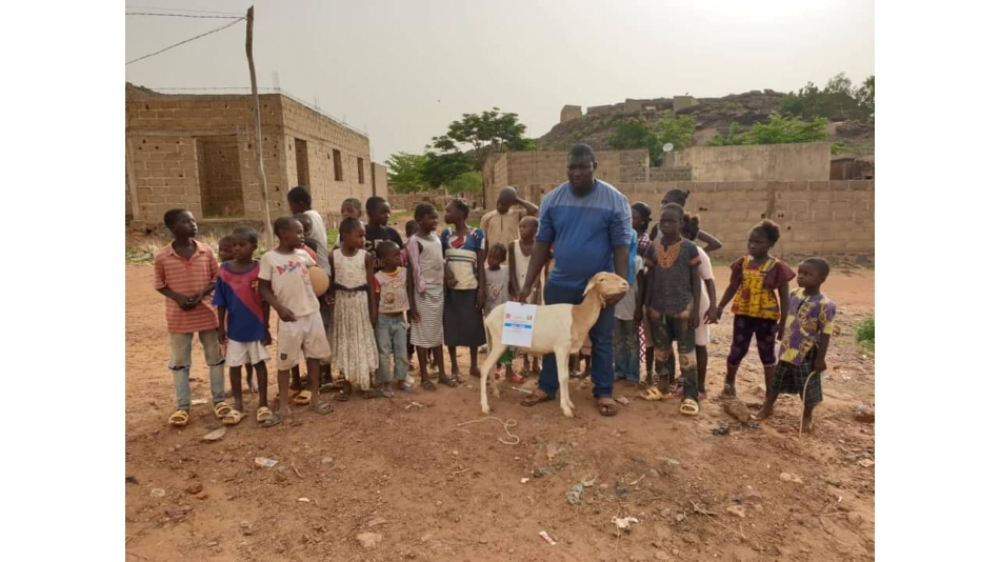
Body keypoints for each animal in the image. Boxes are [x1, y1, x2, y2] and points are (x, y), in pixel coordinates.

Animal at [480, 272, 628, 416]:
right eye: (602, 279)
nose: (625, 284)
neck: (578, 316)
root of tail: (488, 318)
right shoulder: (561, 349)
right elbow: (562, 377)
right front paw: (566, 409)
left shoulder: (567, 351)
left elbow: (566, 377)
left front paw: (569, 403)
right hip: (499, 343)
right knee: (484, 368)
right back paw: (485, 406)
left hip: (493, 342)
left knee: (490, 368)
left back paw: (495, 392)